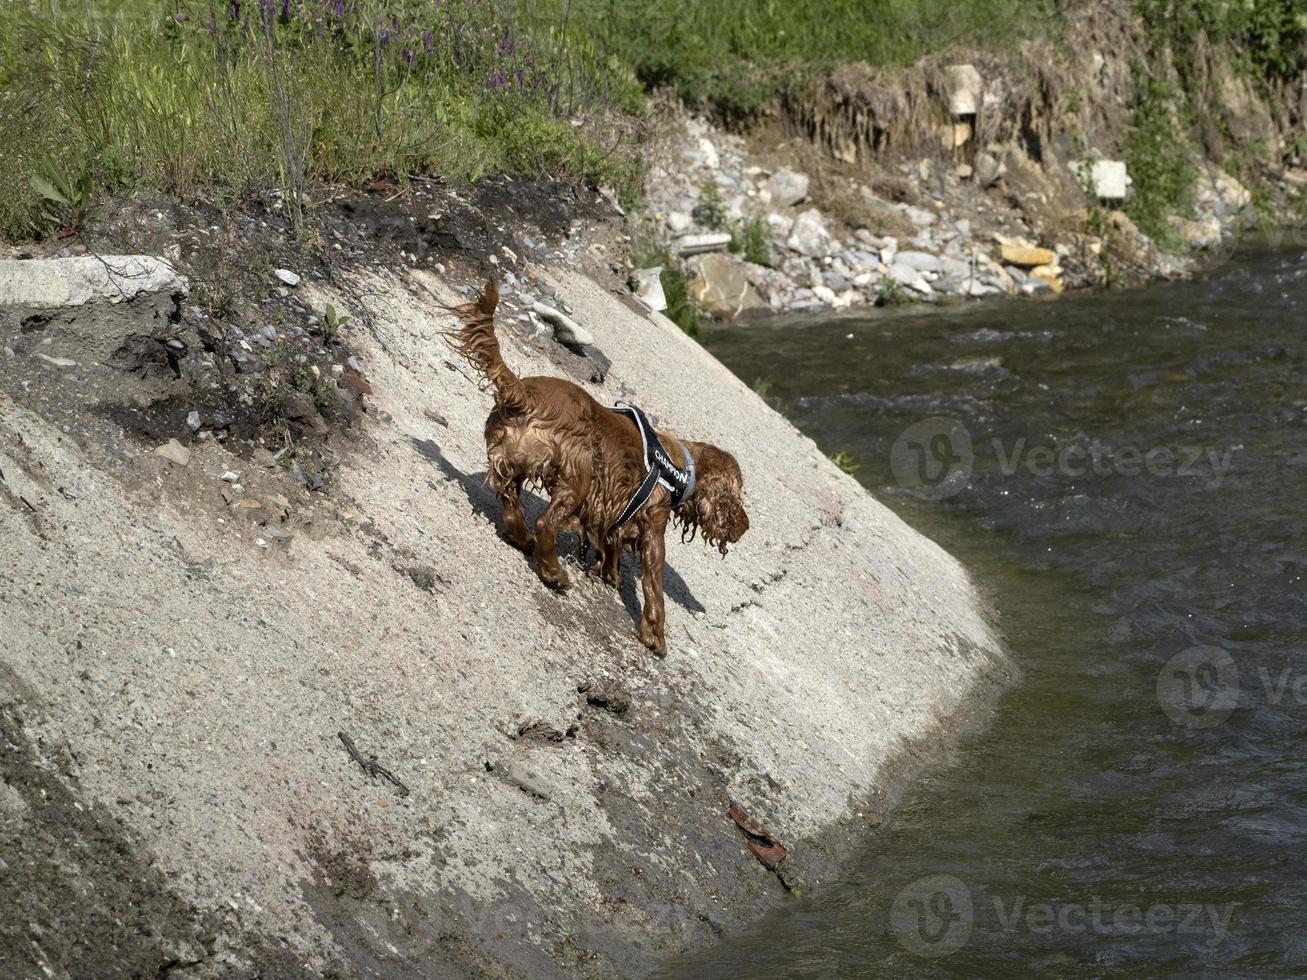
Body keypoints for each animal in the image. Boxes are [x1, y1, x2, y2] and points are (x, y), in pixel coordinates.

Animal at [446, 279, 747, 655]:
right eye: (738, 496)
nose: (745, 527)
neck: (680, 465)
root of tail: (522, 394)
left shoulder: (616, 514)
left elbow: (612, 546)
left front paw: (609, 575)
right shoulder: (653, 525)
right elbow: (654, 585)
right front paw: (654, 635)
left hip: (513, 465)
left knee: (512, 507)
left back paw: (524, 540)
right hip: (579, 478)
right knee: (546, 522)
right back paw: (553, 573)